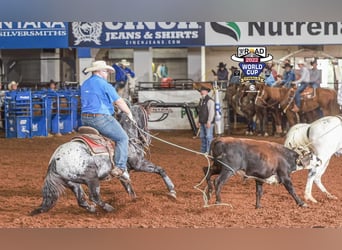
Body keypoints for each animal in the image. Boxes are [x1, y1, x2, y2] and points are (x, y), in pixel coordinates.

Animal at [30, 103, 176, 215]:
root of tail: (55, 159)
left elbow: (129, 188)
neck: (128, 136)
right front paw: (172, 192)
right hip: (91, 178)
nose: (148, 139)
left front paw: (135, 201)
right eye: (147, 118)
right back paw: (109, 208)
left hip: (72, 183)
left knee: (81, 199)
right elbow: (160, 170)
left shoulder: (123, 172)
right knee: (94, 196)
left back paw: (92, 209)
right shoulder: (139, 164)